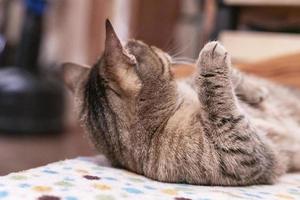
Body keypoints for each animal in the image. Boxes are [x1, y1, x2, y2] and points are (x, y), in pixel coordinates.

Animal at [62, 20, 300, 186]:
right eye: (149, 46)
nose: (158, 46)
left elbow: (207, 78)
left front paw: (255, 91)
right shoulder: (240, 154)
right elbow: (219, 101)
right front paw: (210, 57)